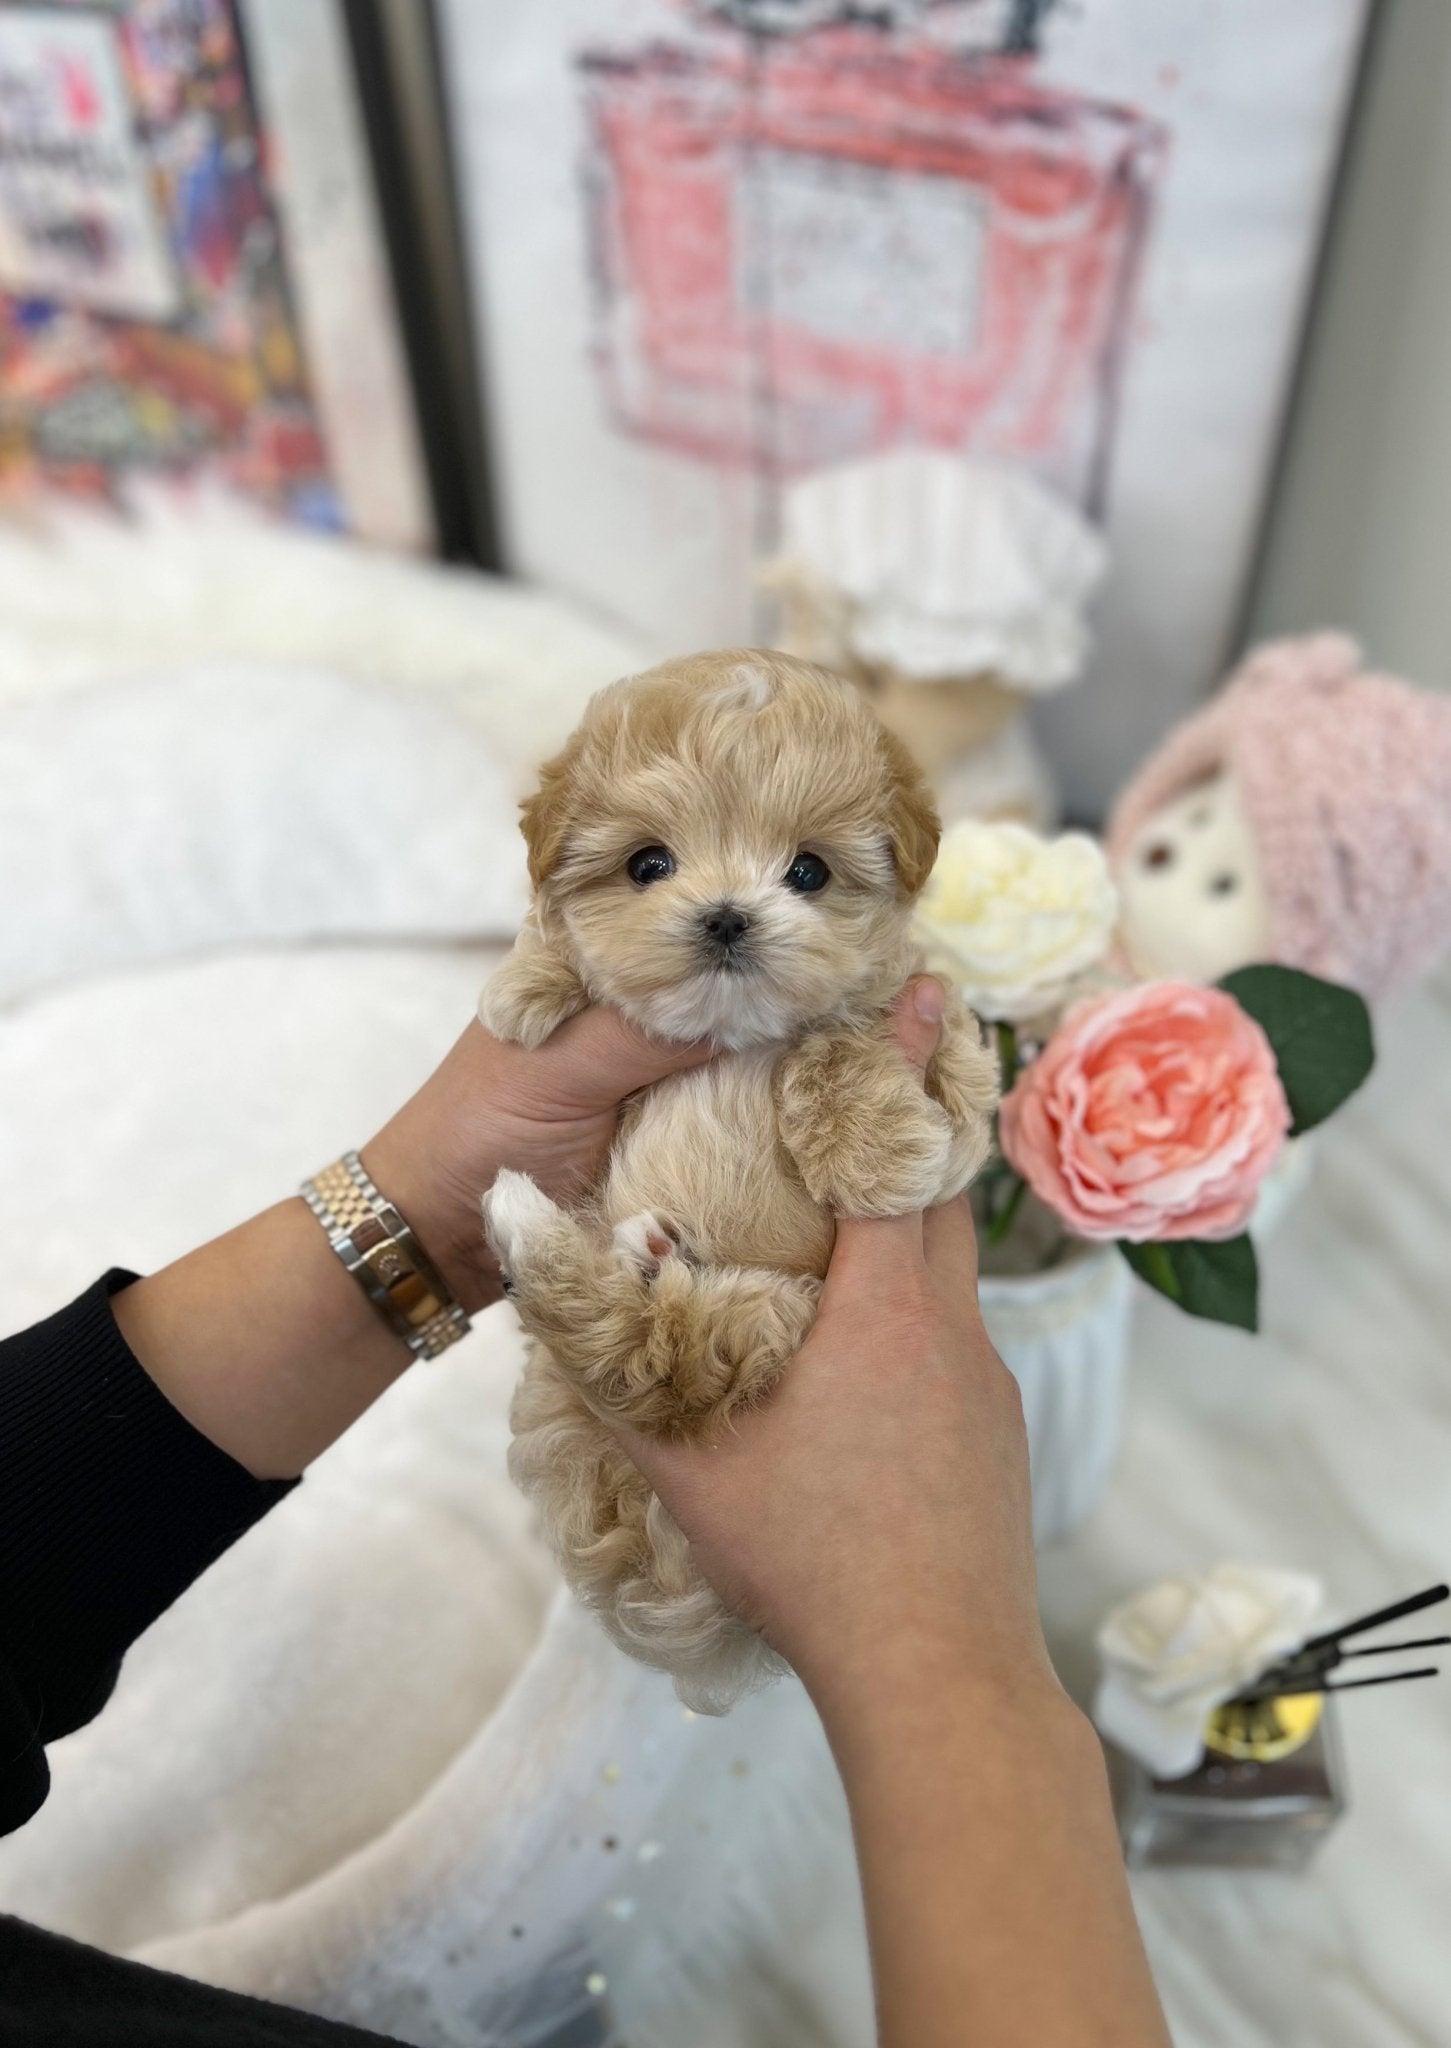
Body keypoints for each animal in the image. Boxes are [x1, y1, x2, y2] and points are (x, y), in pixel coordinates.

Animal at [481, 655, 991, 1712]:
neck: (735, 1034)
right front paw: (528, 984)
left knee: (670, 1360)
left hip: (779, 1320)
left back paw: (635, 1257)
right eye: (647, 865)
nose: (724, 917)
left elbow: (856, 1040)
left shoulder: (951, 1066)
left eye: (809, 872)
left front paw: (872, 1150)